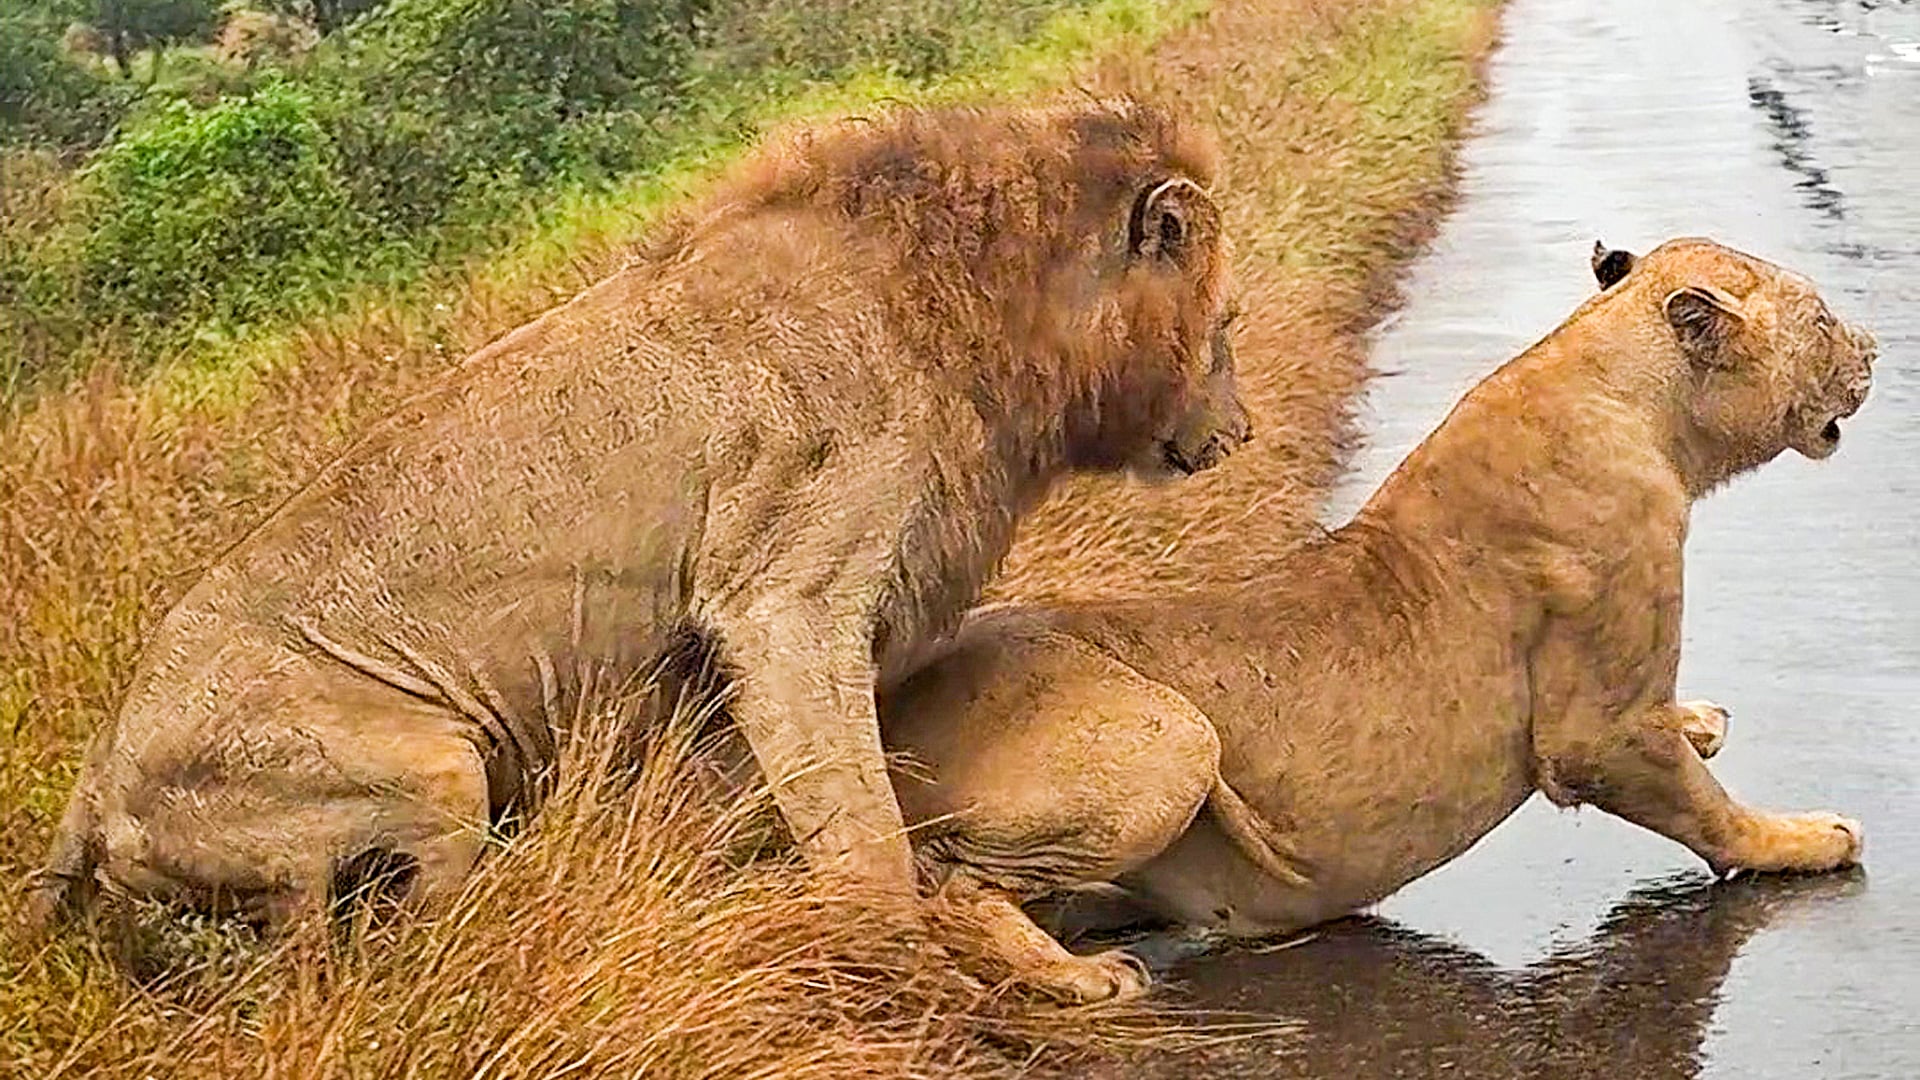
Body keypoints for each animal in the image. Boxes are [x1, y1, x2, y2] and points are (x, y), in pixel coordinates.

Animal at [29, 97, 1254, 933]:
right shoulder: (787, 602)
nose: (1238, 431)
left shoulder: (711, 663)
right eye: (1227, 323)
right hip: (432, 770)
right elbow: (862, 834)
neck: (988, 326)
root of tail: (91, 779)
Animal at [878, 237, 1876, 1003]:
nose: (1874, 348)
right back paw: (1080, 977)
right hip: (1174, 738)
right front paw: (1805, 840)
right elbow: (1709, 811)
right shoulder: (1599, 732)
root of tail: (892, 704)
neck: (1620, 388)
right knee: (945, 888)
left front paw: (1701, 720)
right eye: (1824, 320)